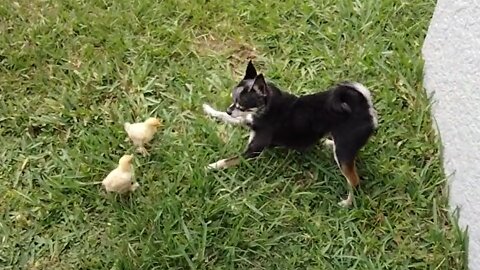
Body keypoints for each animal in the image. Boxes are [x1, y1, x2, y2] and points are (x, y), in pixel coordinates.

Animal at [201, 60, 376, 206]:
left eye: (241, 106)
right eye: (233, 101)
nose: (229, 110)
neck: (266, 107)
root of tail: (363, 106)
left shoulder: (252, 152)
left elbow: (227, 160)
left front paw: (210, 166)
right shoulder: (247, 121)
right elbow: (231, 119)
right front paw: (211, 110)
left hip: (343, 154)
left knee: (354, 181)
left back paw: (347, 203)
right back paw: (327, 142)